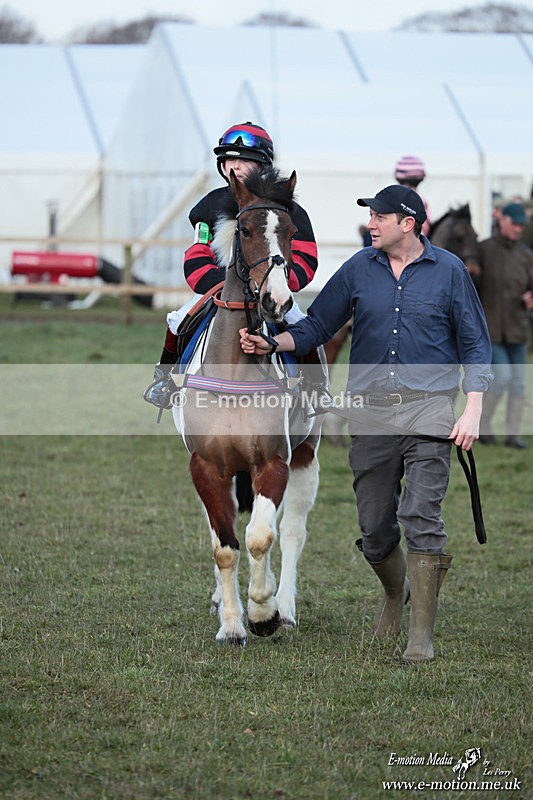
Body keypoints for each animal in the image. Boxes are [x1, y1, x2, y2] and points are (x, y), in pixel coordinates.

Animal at [173, 166, 322, 646]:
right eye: (244, 230)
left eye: (291, 231)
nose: (277, 300)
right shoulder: (206, 466)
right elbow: (225, 546)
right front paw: (233, 625)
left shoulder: (274, 461)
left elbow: (261, 537)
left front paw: (263, 613)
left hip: (306, 456)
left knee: (288, 532)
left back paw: (284, 605)